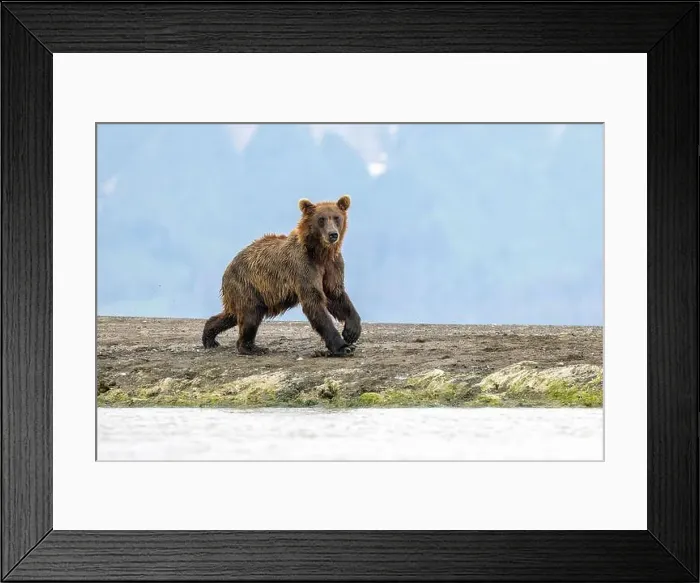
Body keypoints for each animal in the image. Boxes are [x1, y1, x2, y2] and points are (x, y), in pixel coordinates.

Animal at [202, 194, 361, 357]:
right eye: (321, 219)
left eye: (336, 217)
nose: (332, 234)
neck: (320, 253)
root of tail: (228, 266)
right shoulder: (303, 266)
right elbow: (314, 301)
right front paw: (343, 347)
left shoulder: (332, 265)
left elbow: (335, 294)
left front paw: (351, 331)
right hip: (246, 284)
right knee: (250, 315)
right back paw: (251, 347)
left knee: (232, 315)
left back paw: (210, 337)